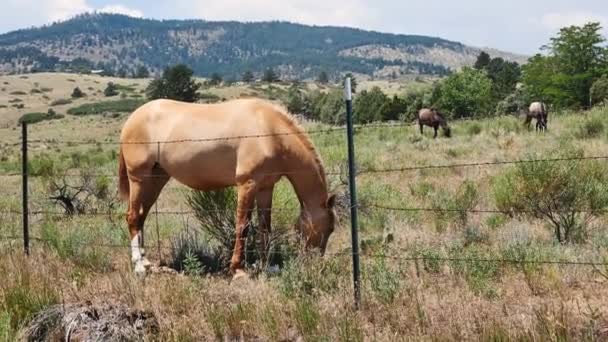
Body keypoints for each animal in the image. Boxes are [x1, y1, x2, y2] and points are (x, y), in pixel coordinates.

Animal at [119, 99, 338, 278]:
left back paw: (146, 261)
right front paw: (238, 269)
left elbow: (265, 227)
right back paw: (139, 266)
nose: (315, 263)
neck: (270, 131)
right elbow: (243, 226)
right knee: (133, 216)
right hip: (138, 178)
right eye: (329, 228)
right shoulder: (247, 185)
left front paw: (266, 266)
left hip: (156, 178)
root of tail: (132, 118)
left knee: (141, 216)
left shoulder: (265, 188)